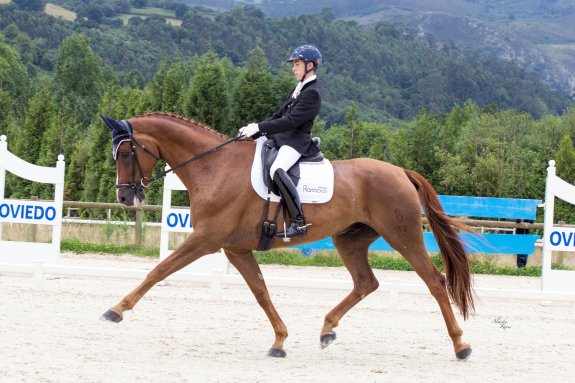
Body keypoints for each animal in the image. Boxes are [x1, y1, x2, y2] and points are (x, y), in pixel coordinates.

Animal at [101, 111, 474, 360]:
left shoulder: (206, 240)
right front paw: (279, 341)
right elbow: (261, 292)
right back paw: (327, 330)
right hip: (349, 239)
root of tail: (401, 172)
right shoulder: (236, 249)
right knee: (366, 282)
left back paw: (461, 345)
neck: (215, 167)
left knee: (435, 282)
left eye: (127, 152)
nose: (125, 198)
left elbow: (159, 270)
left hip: (403, 235)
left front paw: (116, 310)